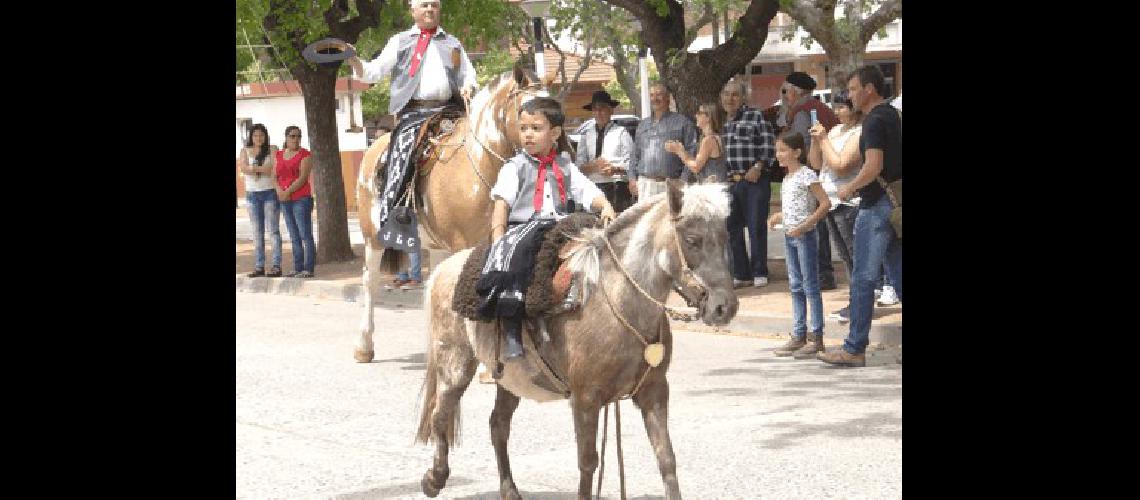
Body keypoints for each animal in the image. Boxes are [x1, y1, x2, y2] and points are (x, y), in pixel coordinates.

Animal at [351, 66, 547, 364]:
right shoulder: (464, 244)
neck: (481, 165)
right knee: (370, 281)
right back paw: (364, 345)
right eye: (528, 108)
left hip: (436, 245)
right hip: (373, 237)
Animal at [419, 182, 738, 498]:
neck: (619, 302)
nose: (725, 307)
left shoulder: (654, 391)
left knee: (498, 425)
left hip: (511, 378)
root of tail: (444, 267)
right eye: (693, 239)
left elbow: (666, 458)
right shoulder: (585, 399)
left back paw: (508, 489)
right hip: (455, 366)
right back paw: (434, 478)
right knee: (439, 415)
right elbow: (588, 462)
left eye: (725, 237)